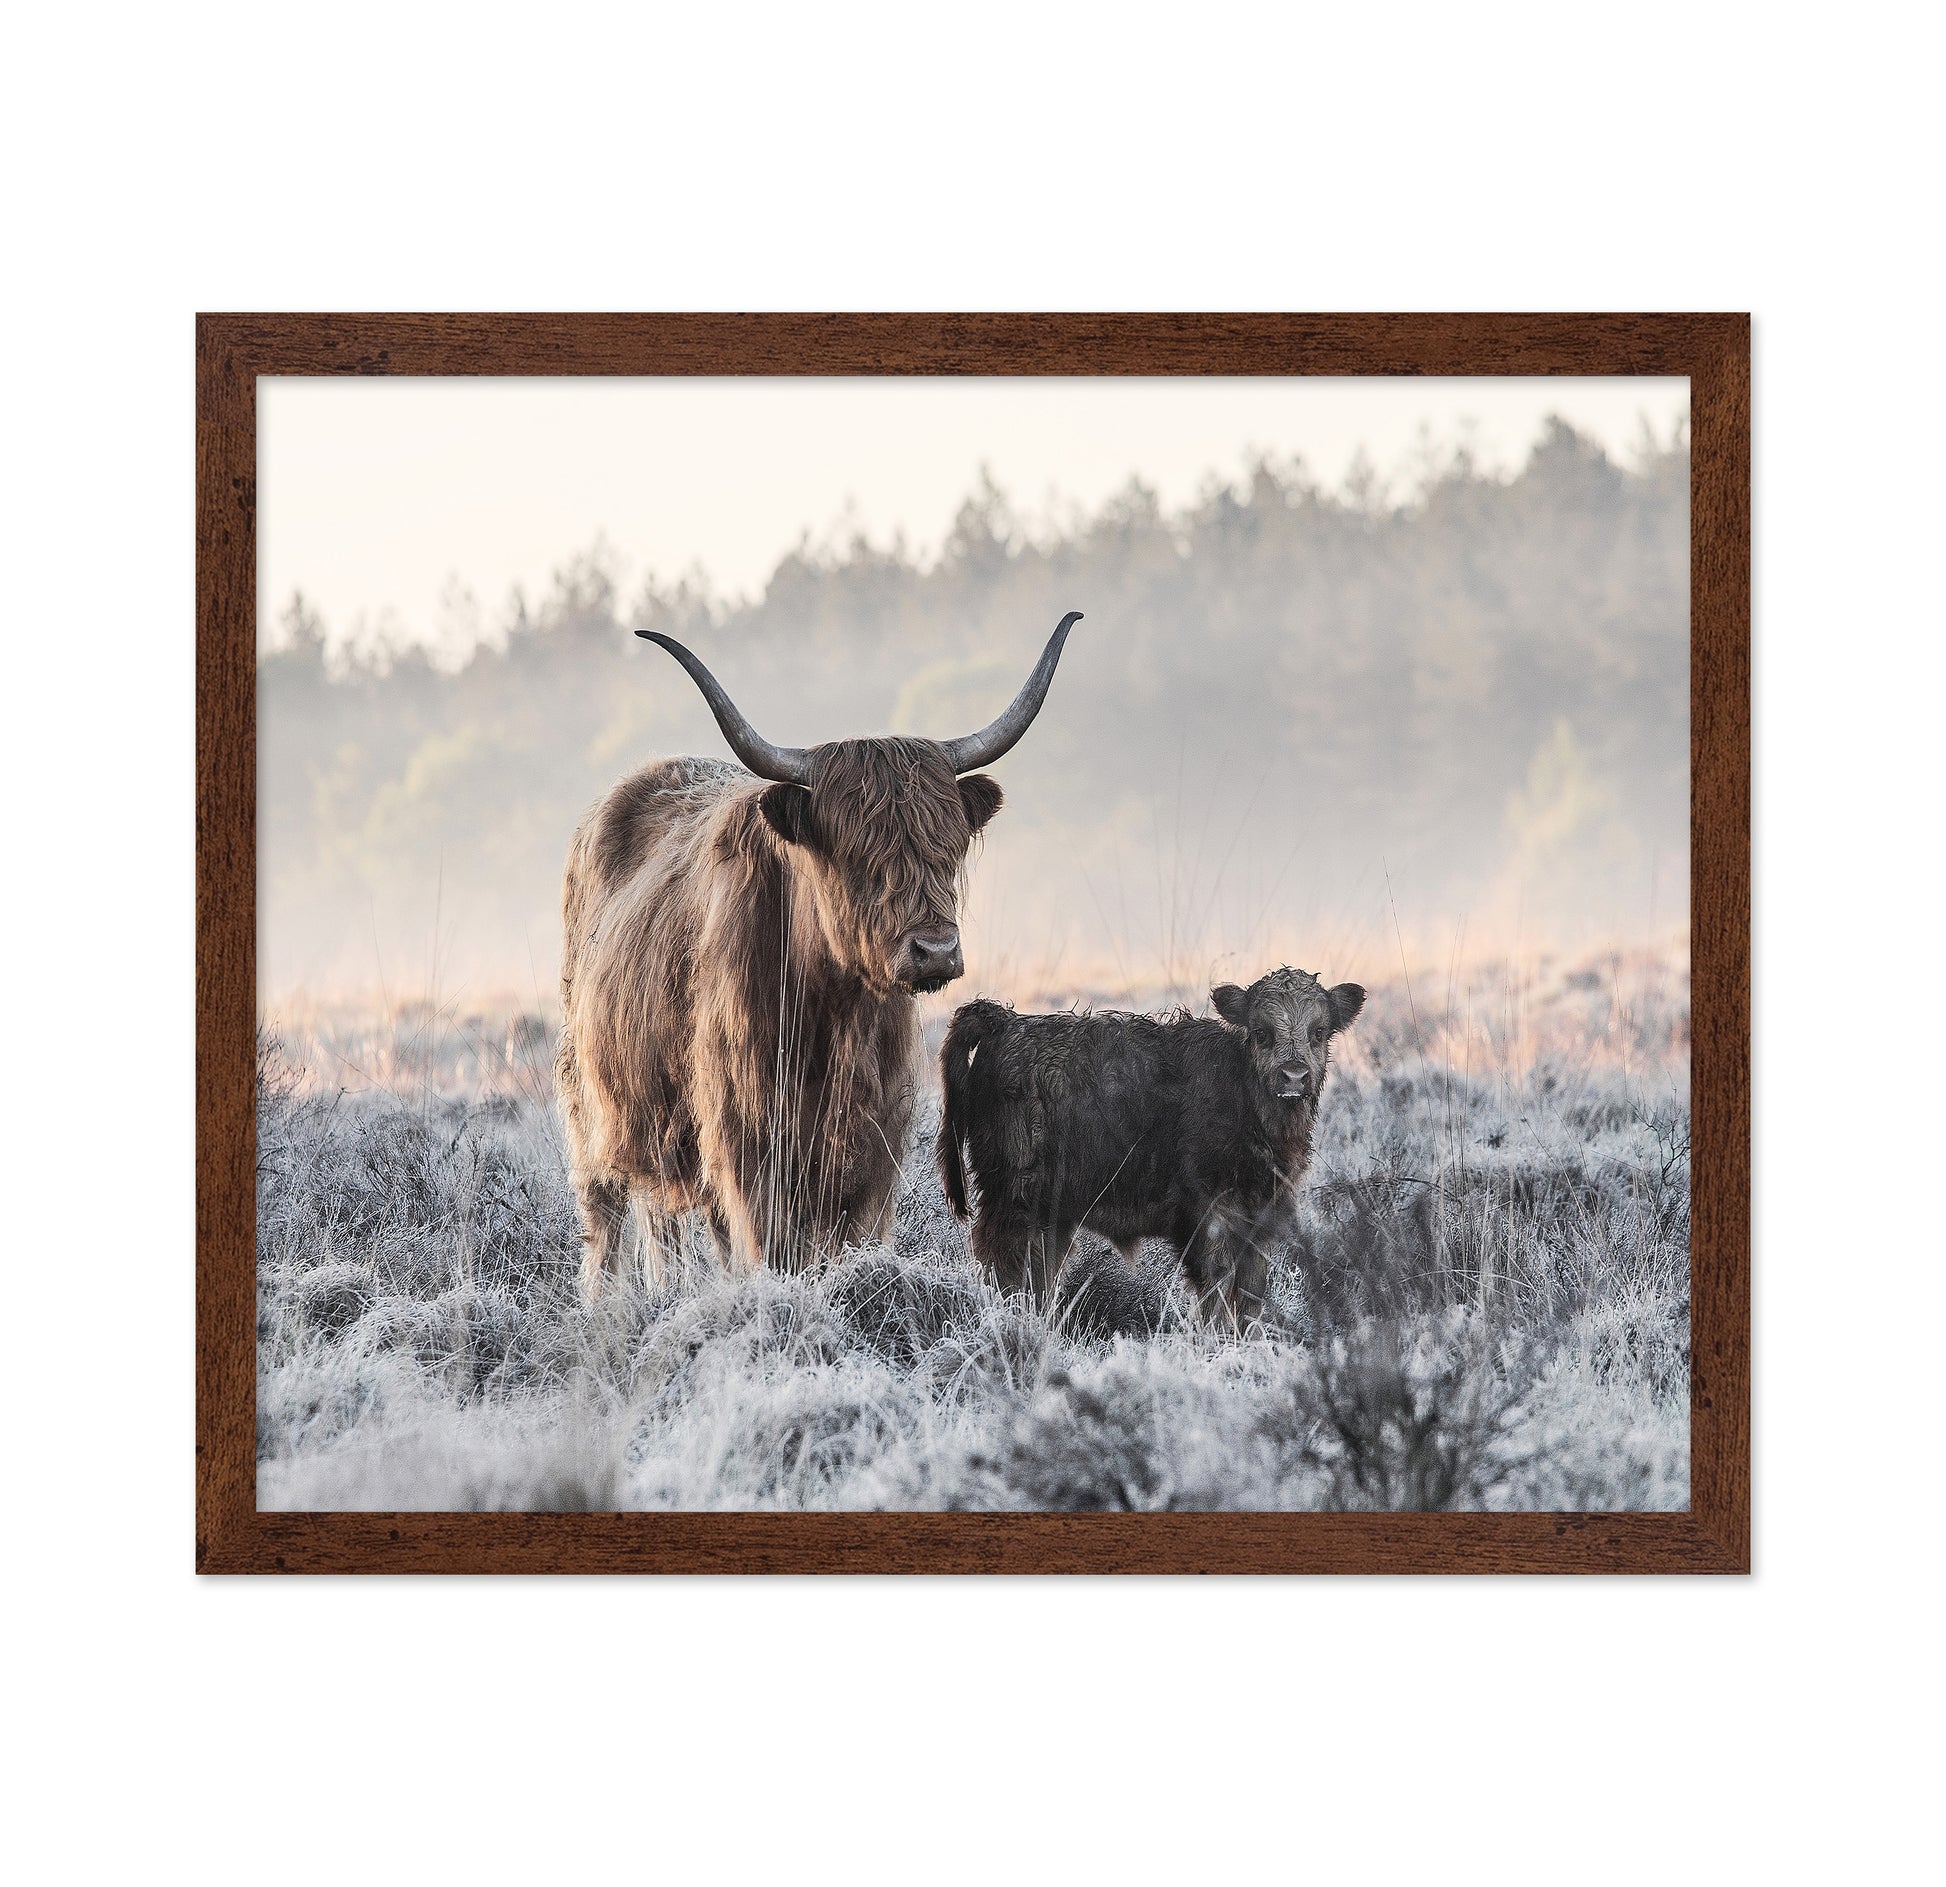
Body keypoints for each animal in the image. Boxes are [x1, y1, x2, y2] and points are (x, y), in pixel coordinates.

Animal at [556, 612, 1081, 1299]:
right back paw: (607, 1310)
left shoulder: (875, 1153)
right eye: (856, 855)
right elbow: (769, 1249)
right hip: (593, 1109)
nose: (935, 950)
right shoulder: (749, 1146)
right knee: (608, 1222)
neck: (835, 1016)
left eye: (947, 848)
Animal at [937, 967, 1365, 1331]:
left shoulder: (1262, 1221)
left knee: (1039, 1273)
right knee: (1004, 1265)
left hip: (1050, 1214)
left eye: (1319, 1032)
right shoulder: (1210, 1218)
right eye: (1261, 1032)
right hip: (1014, 1196)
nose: (1294, 1076)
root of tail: (1006, 1022)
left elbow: (1249, 1299)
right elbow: (1216, 1293)